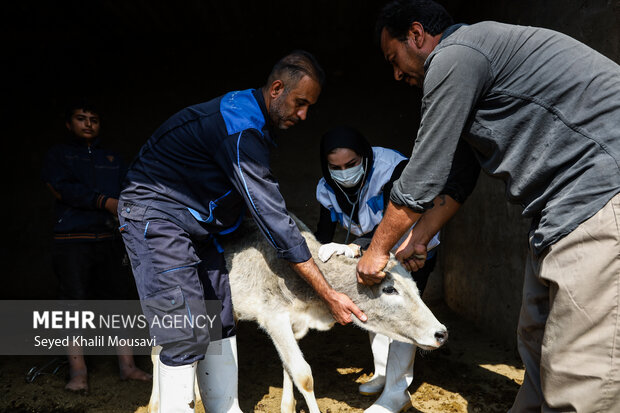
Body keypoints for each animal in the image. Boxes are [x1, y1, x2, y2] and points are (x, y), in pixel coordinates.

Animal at [148, 216, 446, 412]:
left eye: (415, 287)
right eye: (389, 289)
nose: (441, 333)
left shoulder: (295, 324)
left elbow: (289, 368)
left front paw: (287, 406)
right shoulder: (274, 318)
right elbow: (304, 374)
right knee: (158, 353)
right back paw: (155, 403)